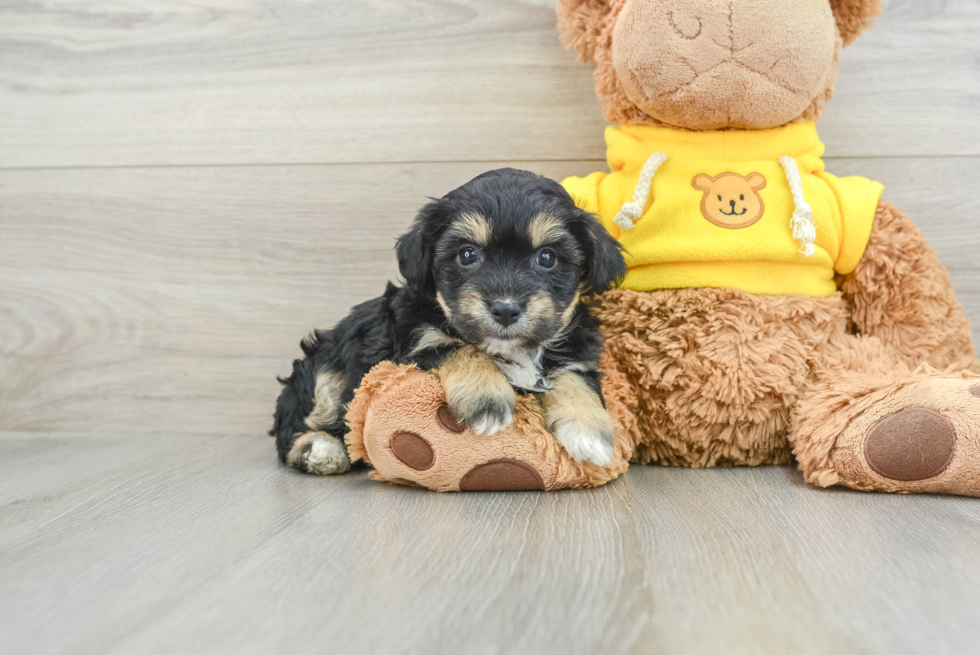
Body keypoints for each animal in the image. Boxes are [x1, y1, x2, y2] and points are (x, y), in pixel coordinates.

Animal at [268, 169, 628, 476]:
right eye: (467, 254)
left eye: (548, 258)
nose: (506, 309)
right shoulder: (413, 342)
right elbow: (460, 347)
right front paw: (487, 400)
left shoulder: (576, 349)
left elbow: (574, 377)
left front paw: (590, 431)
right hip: (323, 370)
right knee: (297, 423)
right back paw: (318, 450)